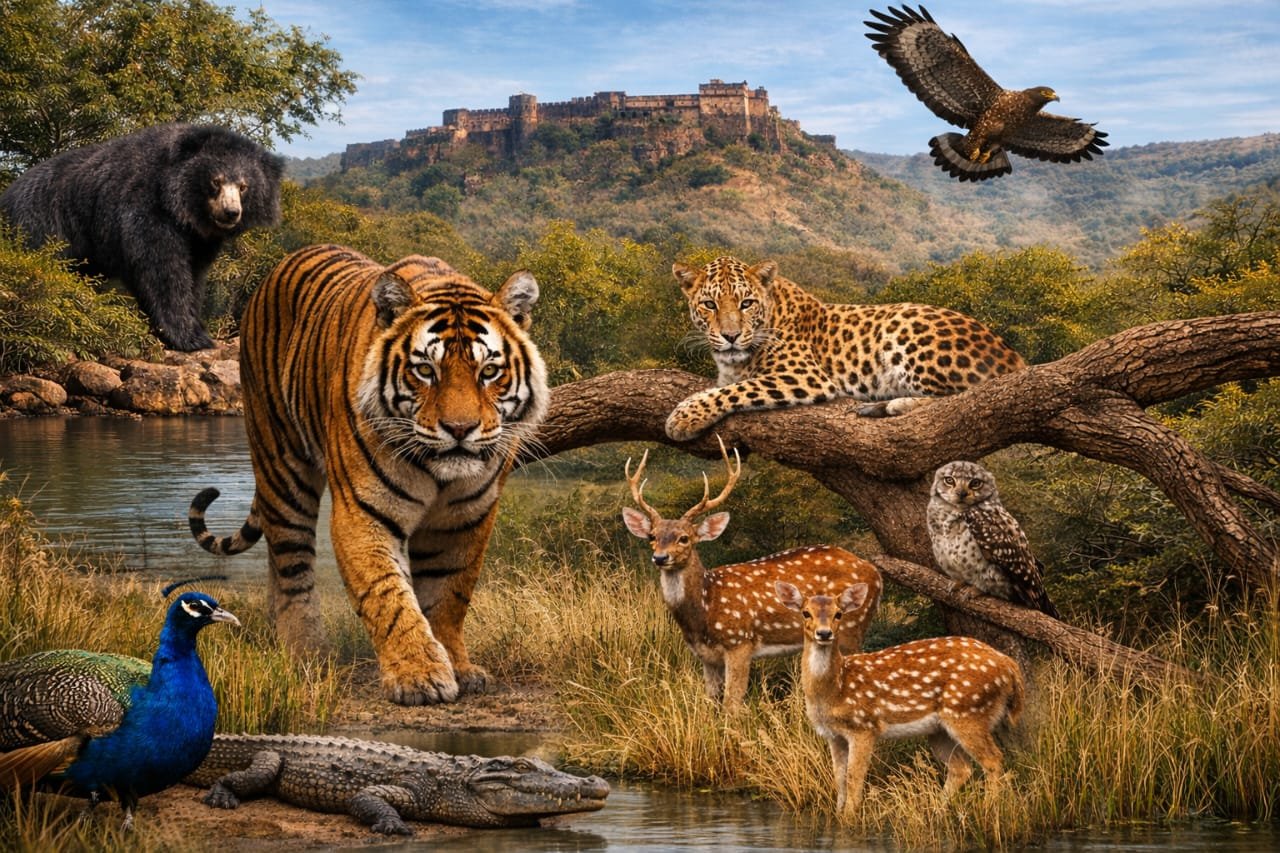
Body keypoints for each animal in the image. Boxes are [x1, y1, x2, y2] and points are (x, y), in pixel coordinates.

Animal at [188, 244, 548, 706]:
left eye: (489, 372)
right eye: (426, 370)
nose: (460, 429)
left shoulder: (464, 520)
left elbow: (447, 596)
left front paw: (459, 666)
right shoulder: (363, 514)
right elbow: (388, 595)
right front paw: (419, 675)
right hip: (282, 464)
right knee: (290, 564)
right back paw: (306, 652)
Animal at [621, 437, 883, 711]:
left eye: (684, 538)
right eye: (652, 536)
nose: (660, 557)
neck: (704, 609)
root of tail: (876, 573)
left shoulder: (739, 643)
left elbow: (732, 704)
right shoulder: (706, 657)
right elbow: (710, 701)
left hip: (852, 628)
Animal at [666, 255, 1026, 441]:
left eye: (747, 303)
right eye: (709, 304)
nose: (731, 335)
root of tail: (1013, 355)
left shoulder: (804, 376)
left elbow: (736, 390)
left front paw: (684, 417)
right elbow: (726, 386)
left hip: (904, 324)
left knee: (960, 398)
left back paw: (892, 405)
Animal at [774, 581, 1025, 818]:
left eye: (839, 613)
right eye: (806, 613)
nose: (824, 633)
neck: (836, 689)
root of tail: (1009, 666)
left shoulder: (864, 726)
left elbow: (854, 777)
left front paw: (850, 818)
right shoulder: (833, 735)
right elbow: (839, 778)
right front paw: (838, 816)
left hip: (969, 711)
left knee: (993, 760)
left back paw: (988, 809)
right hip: (940, 729)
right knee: (961, 767)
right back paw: (937, 810)